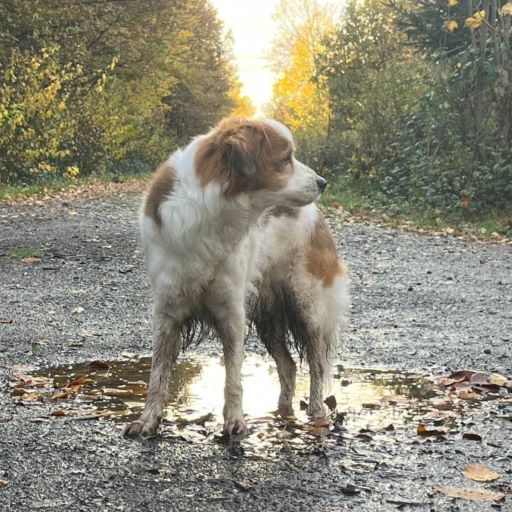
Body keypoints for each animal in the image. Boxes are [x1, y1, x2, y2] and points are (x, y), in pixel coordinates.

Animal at [124, 118, 350, 438]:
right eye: (285, 159)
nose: (323, 183)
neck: (210, 211)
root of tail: (319, 217)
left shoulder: (231, 312)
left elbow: (232, 376)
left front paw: (235, 420)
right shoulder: (167, 311)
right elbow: (157, 373)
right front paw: (148, 419)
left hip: (307, 306)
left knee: (316, 365)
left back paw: (316, 412)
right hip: (270, 318)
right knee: (289, 365)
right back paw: (282, 410)